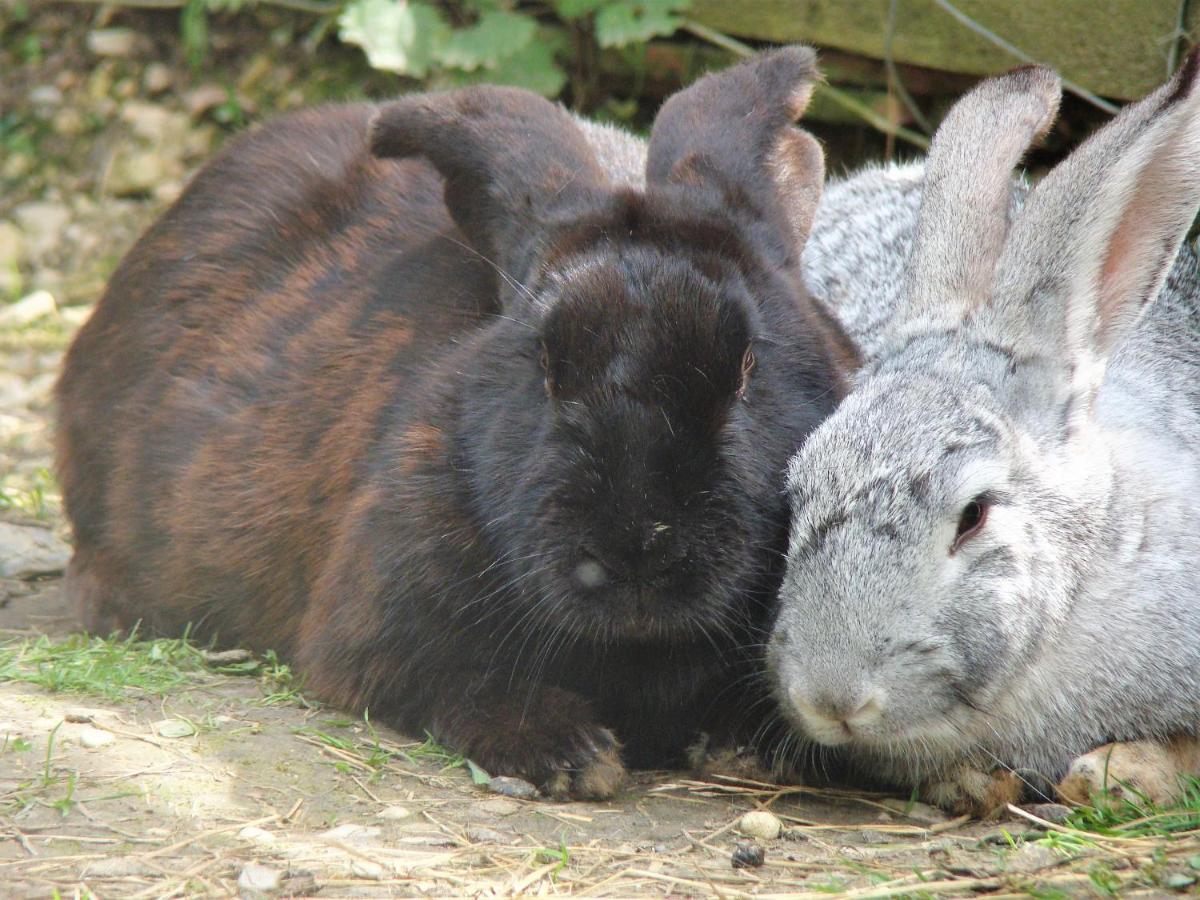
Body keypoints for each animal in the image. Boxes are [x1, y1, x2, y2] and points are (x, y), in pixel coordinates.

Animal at [56, 45, 859, 801]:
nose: (635, 552)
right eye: (545, 365)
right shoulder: (379, 636)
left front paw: (742, 748)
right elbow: (459, 684)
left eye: (748, 366)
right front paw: (571, 756)